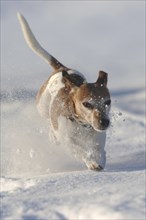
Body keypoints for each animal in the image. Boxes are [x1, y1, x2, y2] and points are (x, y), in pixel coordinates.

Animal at [17, 12, 110, 171]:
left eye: (107, 102)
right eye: (87, 104)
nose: (104, 122)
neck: (82, 125)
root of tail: (62, 68)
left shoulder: (98, 139)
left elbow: (100, 150)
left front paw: (99, 159)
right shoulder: (68, 143)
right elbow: (80, 150)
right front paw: (91, 161)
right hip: (43, 108)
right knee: (50, 125)